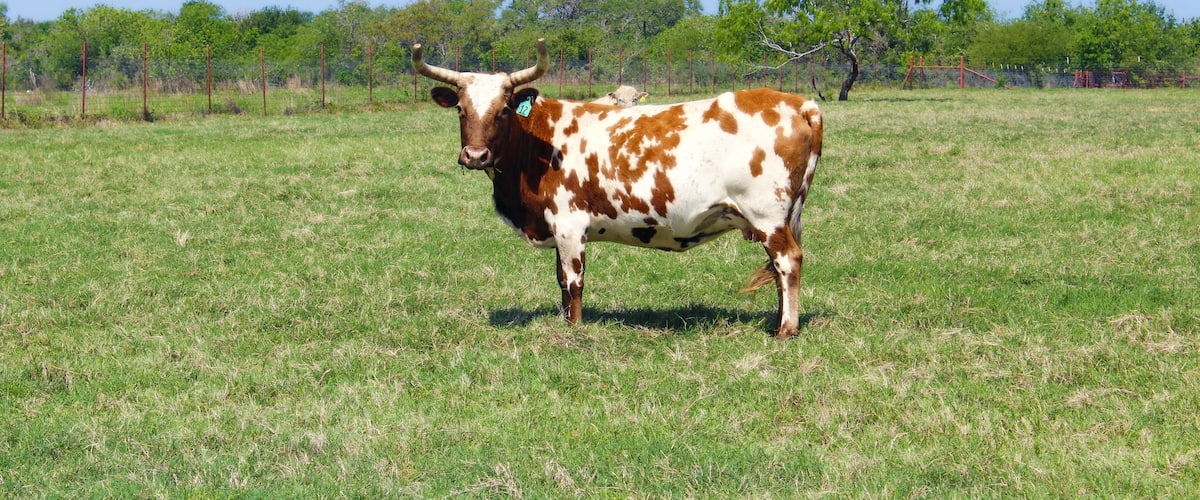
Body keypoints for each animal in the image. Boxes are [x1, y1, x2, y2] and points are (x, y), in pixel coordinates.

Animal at [412, 39, 823, 338]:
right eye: (461, 110)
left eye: (502, 110)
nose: (475, 155)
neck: (538, 141)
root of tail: (800, 103)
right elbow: (560, 280)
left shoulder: (570, 226)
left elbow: (573, 282)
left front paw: (574, 329)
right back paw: (777, 321)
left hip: (767, 216)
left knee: (788, 261)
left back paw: (786, 330)